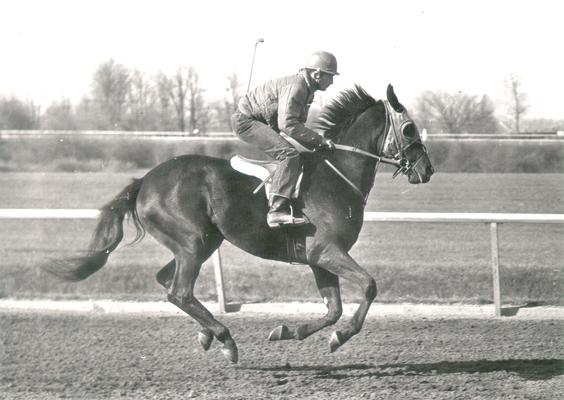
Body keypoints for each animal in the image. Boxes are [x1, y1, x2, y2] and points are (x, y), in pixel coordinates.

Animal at [46, 83, 434, 362]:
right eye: (409, 128)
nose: (427, 170)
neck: (338, 175)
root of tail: (144, 181)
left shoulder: (318, 258)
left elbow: (333, 309)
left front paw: (288, 332)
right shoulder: (326, 251)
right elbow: (368, 286)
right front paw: (339, 337)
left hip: (203, 242)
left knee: (167, 281)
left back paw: (207, 333)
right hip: (193, 241)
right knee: (178, 290)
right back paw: (225, 339)